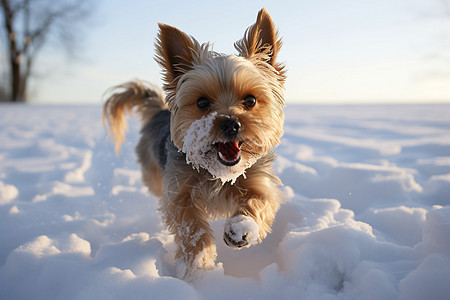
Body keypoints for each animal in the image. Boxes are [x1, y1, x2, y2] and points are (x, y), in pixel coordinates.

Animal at [103, 7, 284, 278]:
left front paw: (241, 227)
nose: (231, 123)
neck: (217, 173)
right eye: (202, 102)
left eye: (250, 100)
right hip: (154, 175)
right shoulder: (178, 192)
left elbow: (260, 201)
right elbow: (191, 227)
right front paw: (199, 264)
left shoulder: (259, 181)